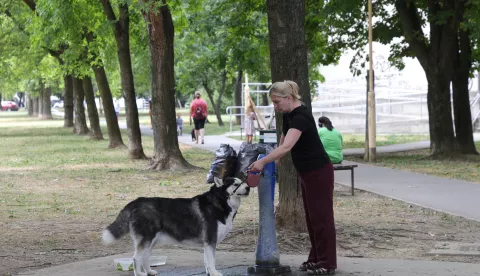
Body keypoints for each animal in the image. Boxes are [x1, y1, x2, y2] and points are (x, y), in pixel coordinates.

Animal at [101, 177, 251, 276]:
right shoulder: (210, 240)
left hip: (151, 242)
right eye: (236, 184)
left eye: (242, 181)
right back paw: (140, 274)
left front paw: (209, 272)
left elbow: (207, 262)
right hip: (146, 239)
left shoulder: (207, 243)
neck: (220, 202)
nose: (249, 187)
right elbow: (212, 261)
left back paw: (149, 271)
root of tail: (135, 202)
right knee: (136, 258)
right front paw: (214, 273)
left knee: (145, 257)